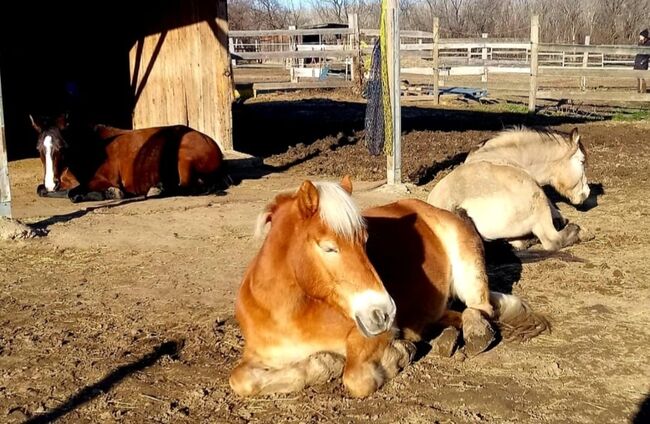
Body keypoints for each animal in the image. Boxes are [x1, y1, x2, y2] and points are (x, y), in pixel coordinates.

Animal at [31, 115, 227, 203]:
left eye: (62, 148)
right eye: (38, 149)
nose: (51, 182)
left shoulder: (101, 180)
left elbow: (72, 194)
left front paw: (111, 193)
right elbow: (41, 190)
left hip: (183, 157)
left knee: (186, 187)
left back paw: (157, 190)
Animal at [229, 176, 548, 398]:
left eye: (365, 242)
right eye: (329, 247)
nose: (383, 312)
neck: (289, 313)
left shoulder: (371, 336)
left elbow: (355, 378)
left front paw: (397, 355)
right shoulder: (255, 355)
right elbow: (239, 379)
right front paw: (321, 364)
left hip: (469, 268)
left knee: (480, 309)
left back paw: (473, 334)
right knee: (446, 315)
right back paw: (445, 337)